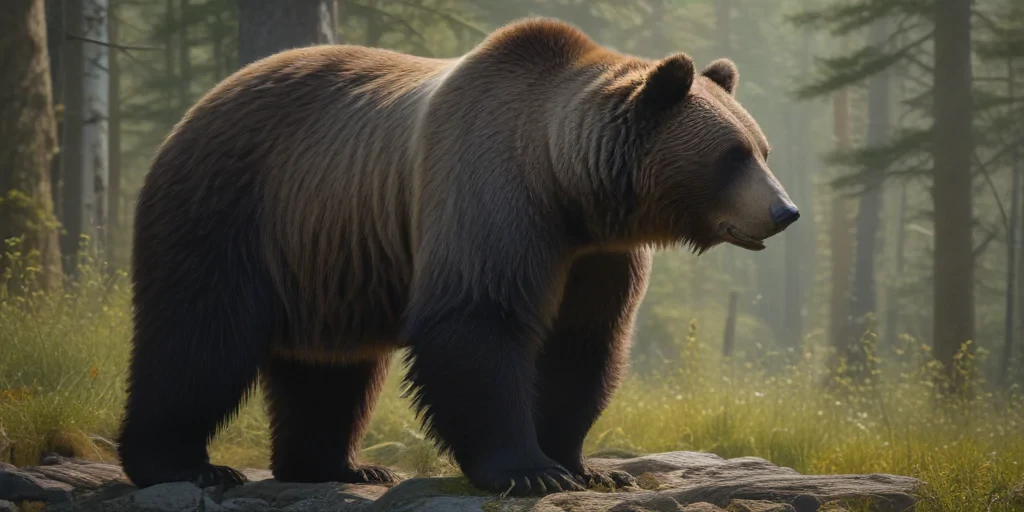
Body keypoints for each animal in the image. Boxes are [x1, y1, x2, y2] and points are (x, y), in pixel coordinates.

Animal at [117, 17, 799, 496]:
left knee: (330, 368)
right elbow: (478, 320)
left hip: (324, 252)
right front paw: (529, 471)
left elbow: (583, 346)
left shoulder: (598, 253)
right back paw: (184, 465)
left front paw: (589, 467)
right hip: (233, 208)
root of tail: (196, 107)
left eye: (762, 147)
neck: (567, 185)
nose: (785, 211)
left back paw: (340, 467)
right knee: (199, 336)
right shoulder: (492, 190)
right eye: (733, 154)